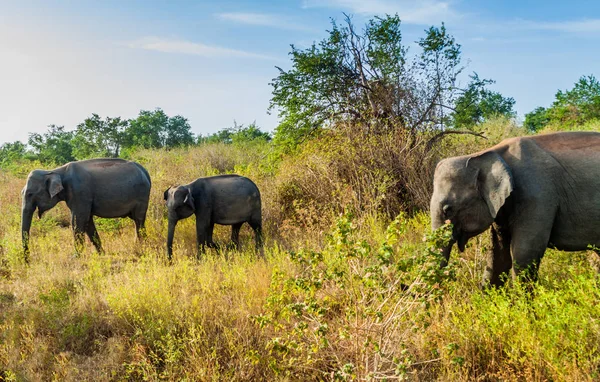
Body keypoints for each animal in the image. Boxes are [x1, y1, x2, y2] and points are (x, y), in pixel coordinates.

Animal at [21, 157, 152, 262]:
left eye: (30, 194)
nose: (28, 261)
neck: (55, 171)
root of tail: (145, 171)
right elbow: (88, 221)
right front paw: (101, 254)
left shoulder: (80, 193)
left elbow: (77, 221)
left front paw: (75, 257)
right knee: (138, 221)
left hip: (142, 195)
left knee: (139, 220)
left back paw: (141, 248)